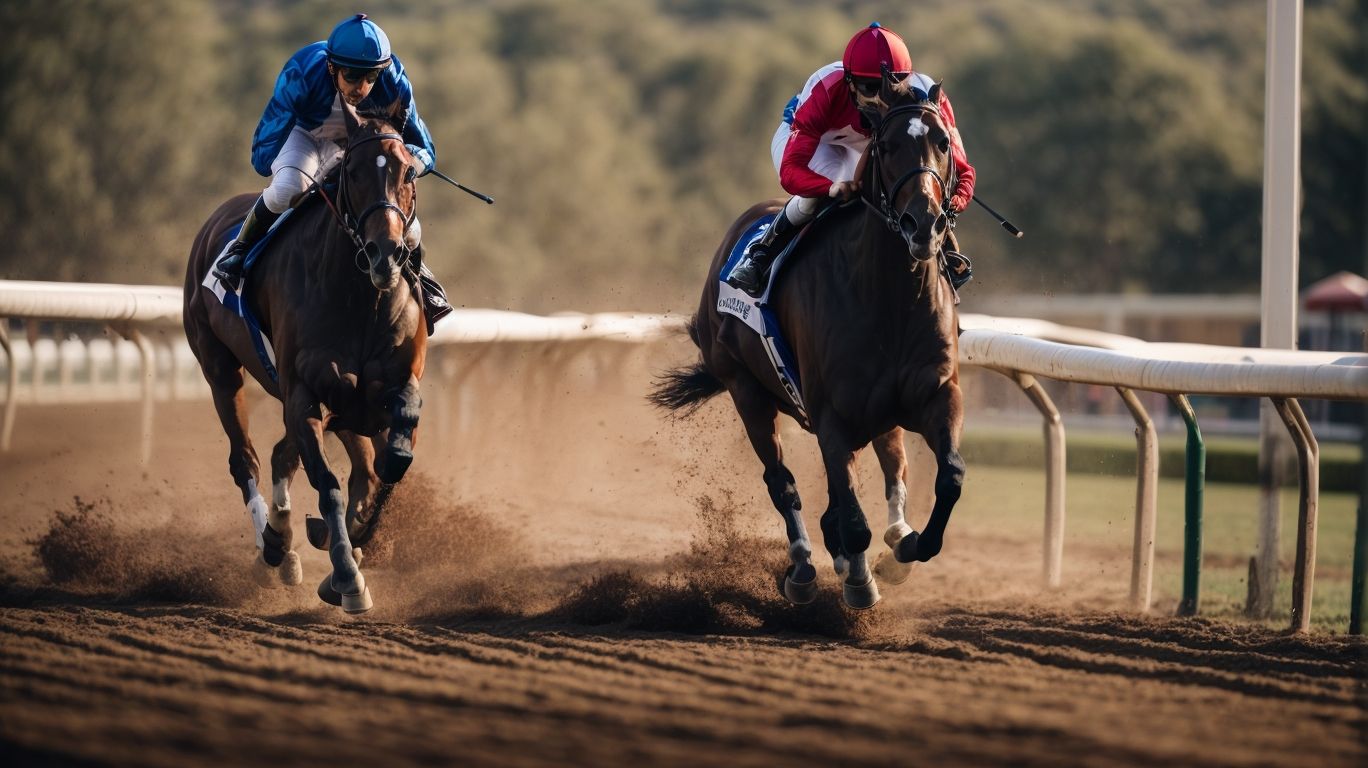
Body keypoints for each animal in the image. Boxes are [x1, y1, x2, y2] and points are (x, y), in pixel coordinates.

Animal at [183, 99, 426, 614]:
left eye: (409, 172)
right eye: (353, 171)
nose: (385, 253)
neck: (360, 299)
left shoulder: (392, 388)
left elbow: (391, 466)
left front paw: (348, 548)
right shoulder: (305, 395)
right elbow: (329, 485)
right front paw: (347, 578)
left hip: (349, 407)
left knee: (324, 463)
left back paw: (290, 537)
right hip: (220, 368)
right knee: (248, 459)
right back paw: (272, 547)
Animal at [651, 79, 965, 610]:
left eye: (943, 142)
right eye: (886, 146)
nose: (922, 224)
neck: (890, 298)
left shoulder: (936, 395)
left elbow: (949, 479)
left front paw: (903, 551)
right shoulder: (832, 413)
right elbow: (852, 519)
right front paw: (859, 582)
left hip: (876, 418)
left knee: (890, 470)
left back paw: (887, 537)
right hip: (746, 390)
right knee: (783, 484)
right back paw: (802, 567)